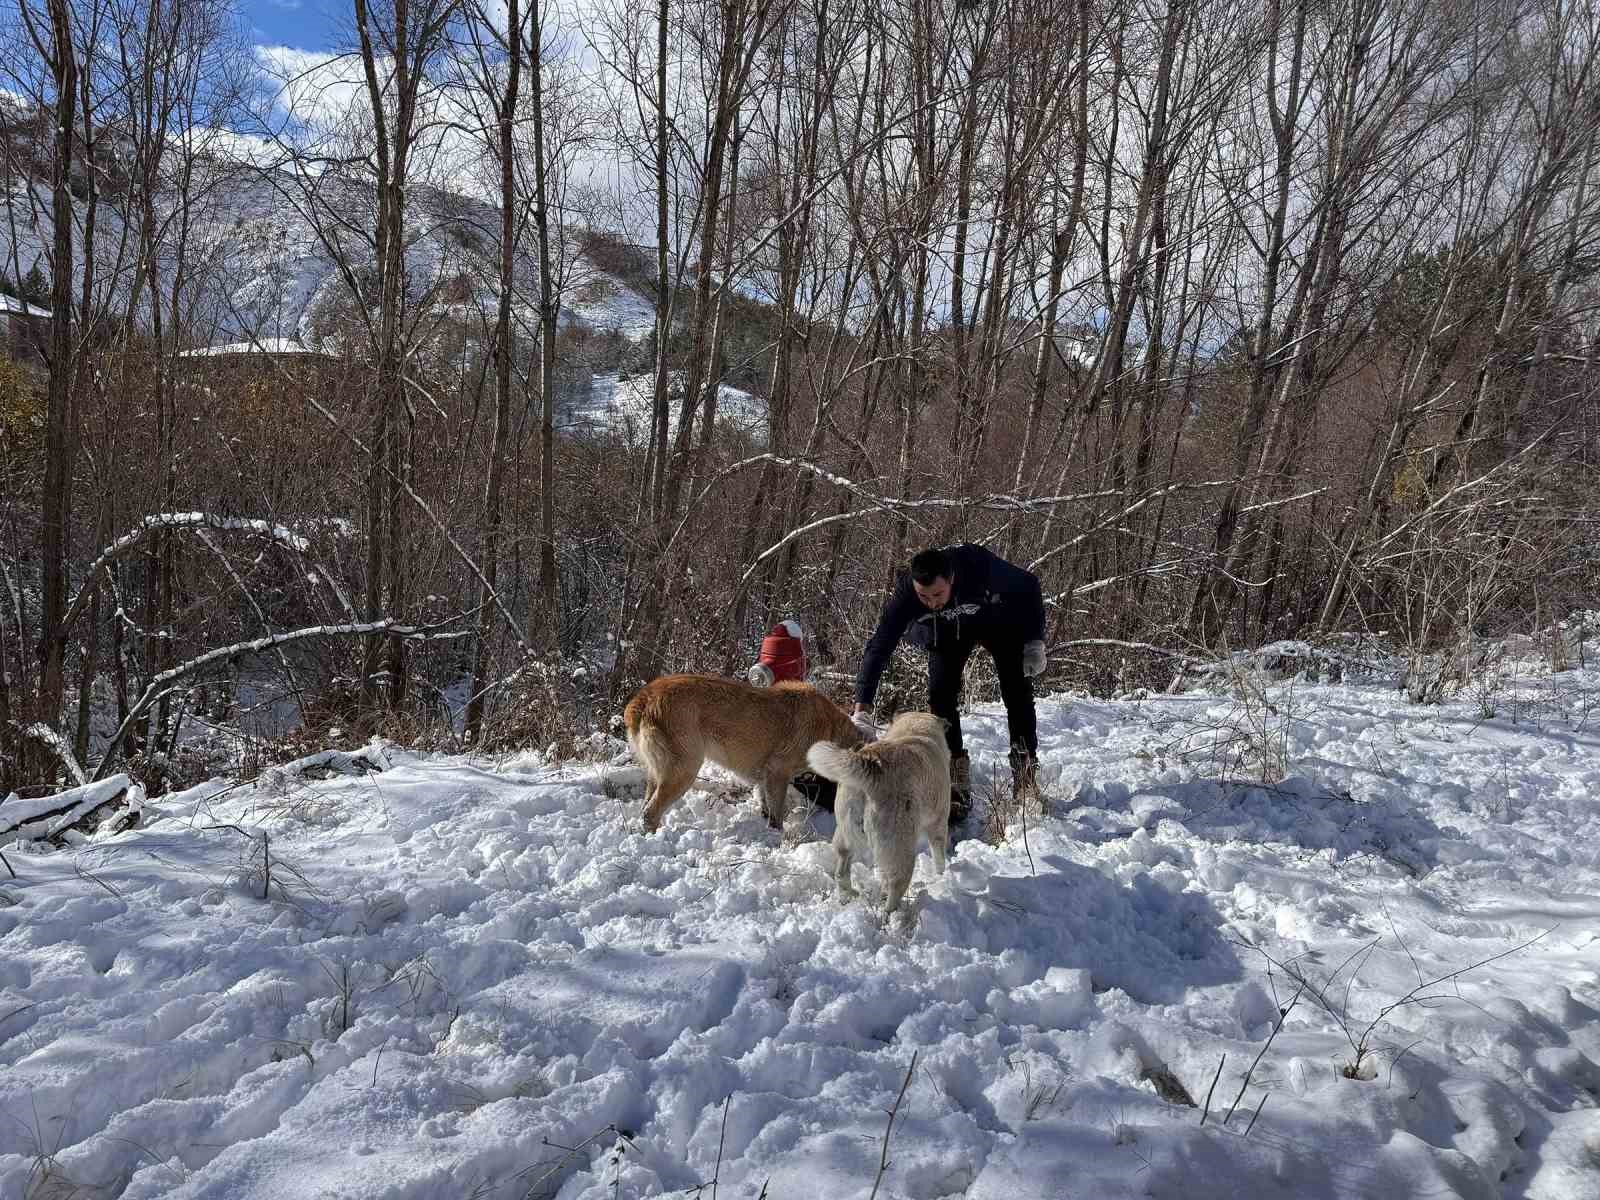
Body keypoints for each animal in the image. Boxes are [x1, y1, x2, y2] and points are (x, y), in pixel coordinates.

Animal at [620, 678, 870, 838]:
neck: (830, 730)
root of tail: (644, 698)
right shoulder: (778, 773)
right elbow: (777, 815)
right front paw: (776, 838)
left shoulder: (767, 777)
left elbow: (767, 806)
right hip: (683, 772)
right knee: (650, 813)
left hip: (658, 774)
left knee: (645, 808)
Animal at [806, 713, 940, 921]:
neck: (916, 728)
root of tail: (871, 769)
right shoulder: (938, 821)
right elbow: (940, 856)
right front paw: (942, 877)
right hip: (900, 848)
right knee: (896, 885)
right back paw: (892, 916)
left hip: (845, 833)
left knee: (842, 870)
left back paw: (848, 896)